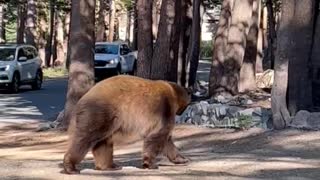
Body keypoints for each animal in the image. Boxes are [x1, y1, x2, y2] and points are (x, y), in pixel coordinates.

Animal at [63, 74, 191, 174]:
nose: (183, 111)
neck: (174, 95)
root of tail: (81, 100)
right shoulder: (164, 109)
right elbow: (157, 137)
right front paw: (151, 164)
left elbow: (168, 141)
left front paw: (182, 159)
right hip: (101, 112)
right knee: (85, 138)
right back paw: (71, 167)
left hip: (108, 120)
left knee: (104, 143)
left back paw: (110, 166)